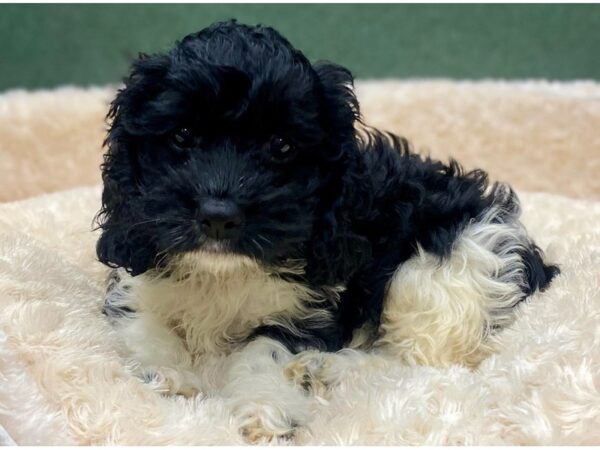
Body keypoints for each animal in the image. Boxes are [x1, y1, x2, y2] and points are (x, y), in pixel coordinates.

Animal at [95, 20, 556, 442]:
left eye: (281, 145)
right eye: (183, 135)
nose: (218, 215)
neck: (224, 272)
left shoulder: (310, 309)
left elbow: (266, 350)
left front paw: (266, 406)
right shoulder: (137, 276)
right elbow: (142, 325)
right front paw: (165, 373)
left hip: (450, 264)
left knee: (425, 364)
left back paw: (326, 367)